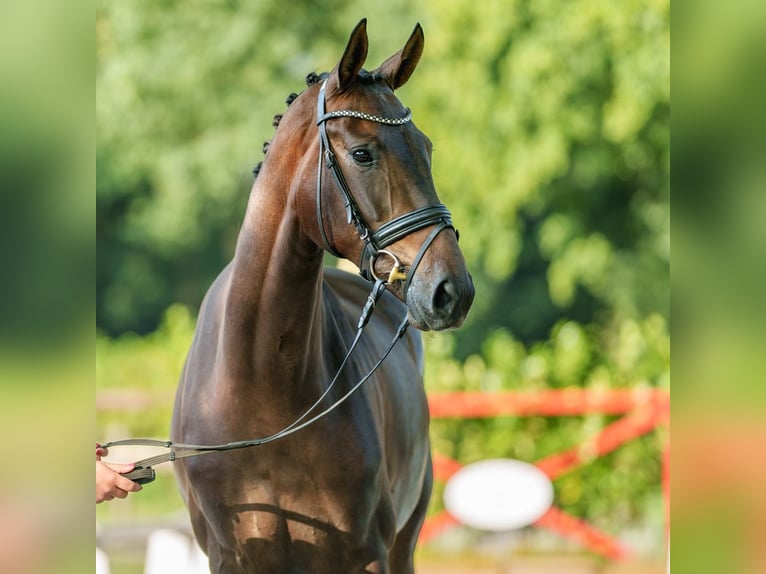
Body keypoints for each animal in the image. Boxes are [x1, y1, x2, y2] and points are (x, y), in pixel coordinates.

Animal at [172, 19, 476, 574]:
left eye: (426, 148)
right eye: (362, 153)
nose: (452, 291)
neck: (265, 392)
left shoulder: (368, 554)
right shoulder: (232, 557)